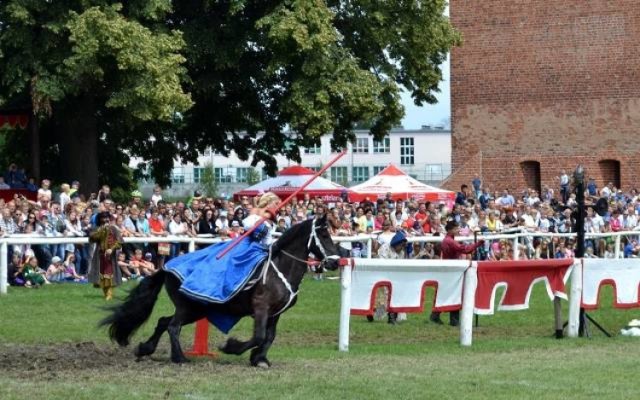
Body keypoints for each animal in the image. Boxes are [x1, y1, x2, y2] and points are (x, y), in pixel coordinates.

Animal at [99, 214, 342, 368]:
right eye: (325, 236)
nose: (335, 262)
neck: (279, 267)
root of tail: (166, 268)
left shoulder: (276, 313)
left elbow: (269, 337)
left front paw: (259, 359)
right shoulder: (261, 308)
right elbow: (259, 335)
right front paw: (231, 347)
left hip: (196, 310)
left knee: (163, 322)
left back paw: (145, 349)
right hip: (188, 308)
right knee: (173, 326)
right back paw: (180, 358)